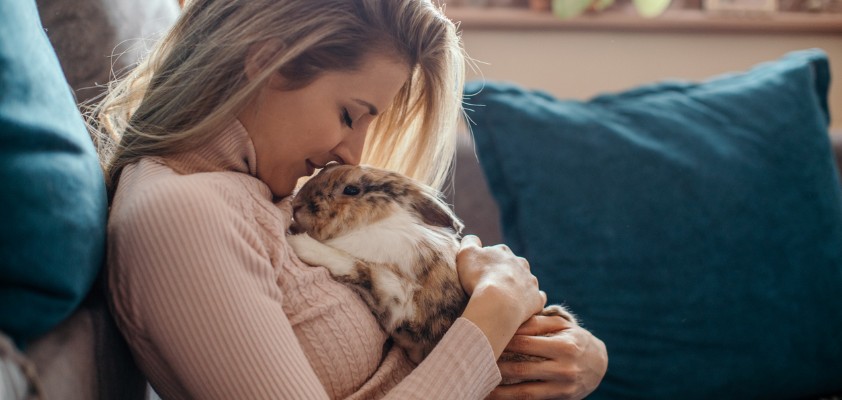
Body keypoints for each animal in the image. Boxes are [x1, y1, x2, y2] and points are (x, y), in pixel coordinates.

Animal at [287, 164, 577, 368]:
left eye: (351, 190)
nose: (296, 205)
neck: (374, 224)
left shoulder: (396, 296)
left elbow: (354, 266)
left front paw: (299, 243)